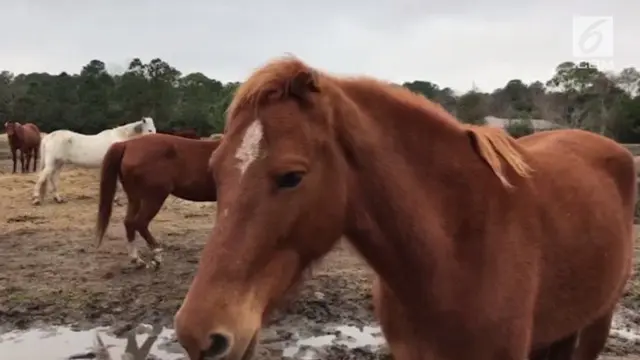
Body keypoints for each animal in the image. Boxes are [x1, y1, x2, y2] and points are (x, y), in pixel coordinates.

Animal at [95, 134, 222, 268]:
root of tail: (127, 144)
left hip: (135, 197)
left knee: (129, 222)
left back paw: (136, 259)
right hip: (155, 197)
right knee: (140, 223)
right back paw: (157, 255)